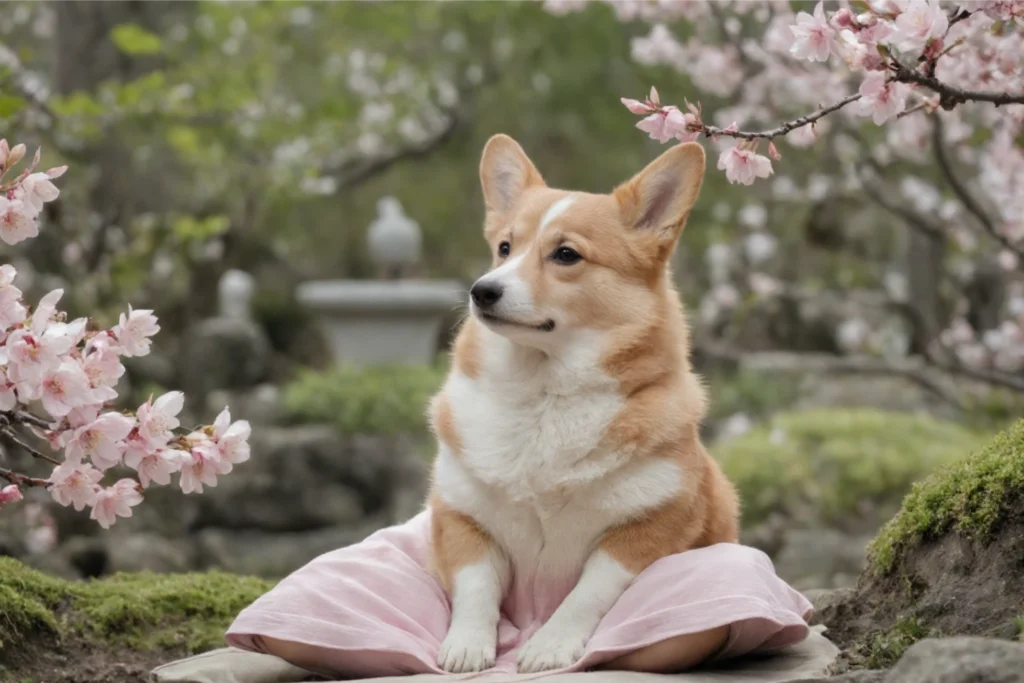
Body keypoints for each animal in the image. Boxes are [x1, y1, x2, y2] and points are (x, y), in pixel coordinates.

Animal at [423, 132, 737, 671]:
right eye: (504, 248)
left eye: (566, 254)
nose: (481, 291)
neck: (544, 394)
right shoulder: (461, 516)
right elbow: (477, 585)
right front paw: (467, 645)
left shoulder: (648, 529)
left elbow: (586, 592)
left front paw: (548, 646)